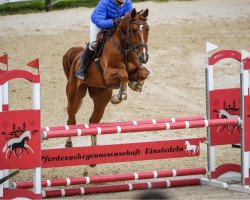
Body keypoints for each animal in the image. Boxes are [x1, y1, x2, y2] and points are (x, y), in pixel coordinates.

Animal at [62, 8, 149, 155]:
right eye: (133, 30)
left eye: (147, 29)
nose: (144, 57)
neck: (124, 47)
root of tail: (75, 56)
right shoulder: (108, 75)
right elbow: (123, 74)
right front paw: (119, 96)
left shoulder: (135, 69)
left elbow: (144, 72)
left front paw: (136, 85)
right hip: (75, 94)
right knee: (71, 119)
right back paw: (68, 143)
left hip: (101, 97)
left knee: (93, 121)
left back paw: (94, 152)